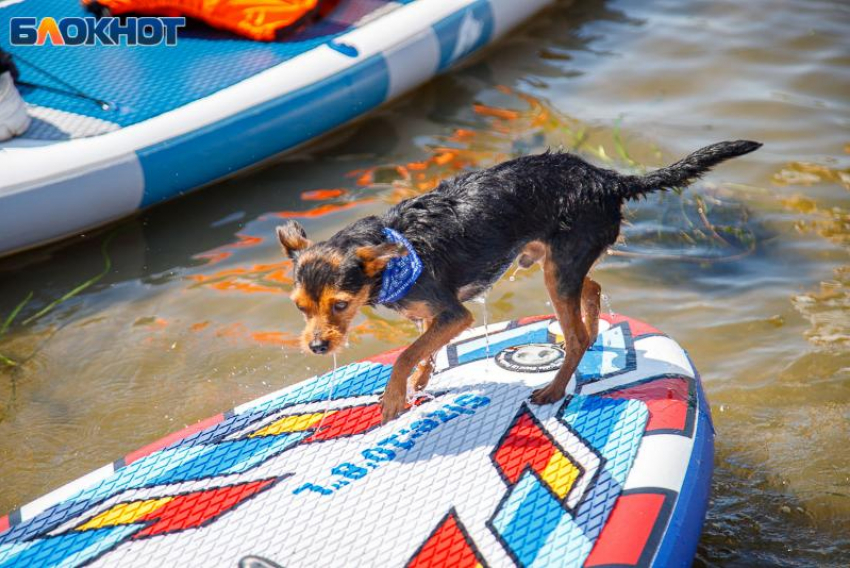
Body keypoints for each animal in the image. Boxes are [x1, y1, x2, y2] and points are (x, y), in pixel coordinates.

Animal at [274, 139, 760, 422]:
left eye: (340, 305)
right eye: (300, 308)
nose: (316, 347)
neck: (392, 254)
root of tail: (608, 180)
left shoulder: (455, 314)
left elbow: (405, 354)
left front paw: (394, 397)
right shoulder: (432, 315)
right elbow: (422, 349)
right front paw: (421, 382)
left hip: (558, 270)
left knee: (576, 336)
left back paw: (555, 387)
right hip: (558, 262)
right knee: (592, 293)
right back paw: (591, 328)